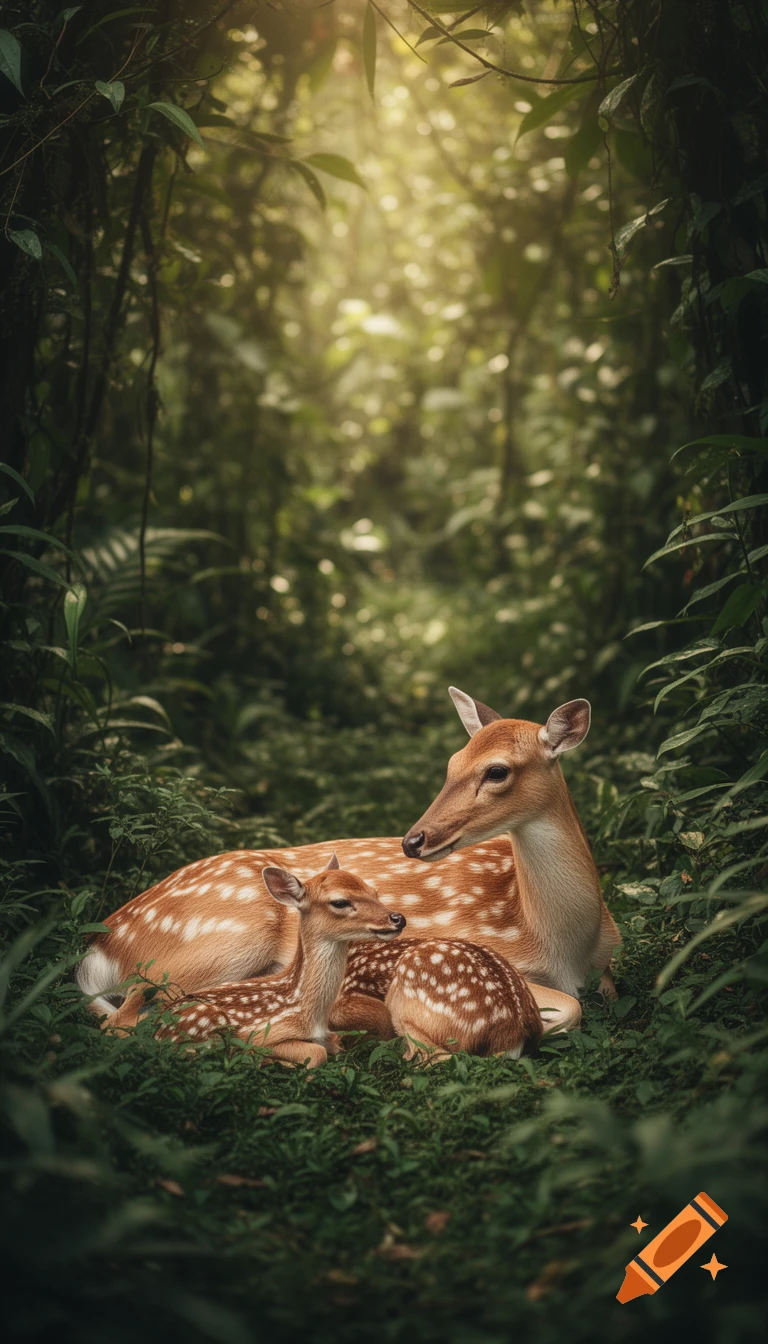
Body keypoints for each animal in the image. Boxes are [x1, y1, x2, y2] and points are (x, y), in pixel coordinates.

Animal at [76, 688, 617, 1037]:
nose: (414, 840)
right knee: (129, 1013)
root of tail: (104, 944)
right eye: (451, 764)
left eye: (498, 770)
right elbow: (569, 1008)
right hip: (223, 938)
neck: (561, 941)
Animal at [153, 855, 406, 1067]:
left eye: (374, 892)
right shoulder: (258, 1035)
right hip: (205, 1020)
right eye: (340, 902)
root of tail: (156, 1030)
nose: (398, 918)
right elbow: (315, 1053)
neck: (309, 1014)